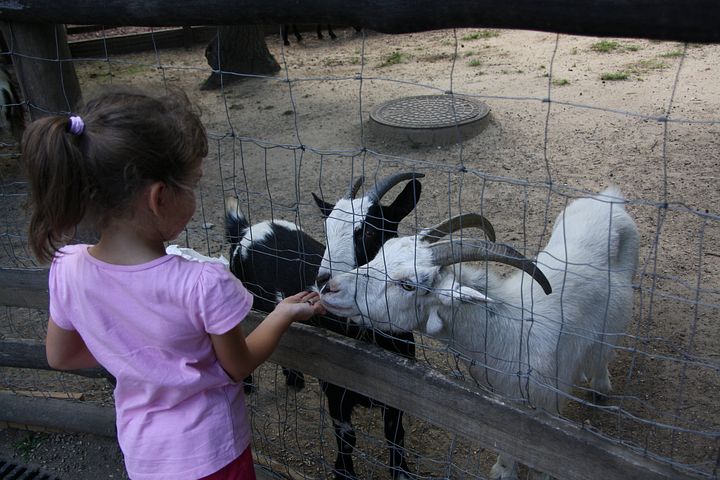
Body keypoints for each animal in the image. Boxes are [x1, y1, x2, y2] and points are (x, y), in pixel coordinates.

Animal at [226, 173, 422, 480]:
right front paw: (344, 473)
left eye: (369, 232)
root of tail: (245, 229)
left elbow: (396, 435)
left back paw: (294, 378)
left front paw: (401, 473)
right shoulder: (335, 385)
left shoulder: (399, 390)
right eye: (326, 231)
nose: (323, 281)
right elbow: (347, 437)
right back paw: (247, 386)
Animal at [320, 188, 640, 480]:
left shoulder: (548, 409)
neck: (512, 330)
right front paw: (503, 470)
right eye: (381, 252)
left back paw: (599, 386)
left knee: (603, 351)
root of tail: (609, 198)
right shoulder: (505, 403)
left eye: (408, 284)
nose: (329, 288)